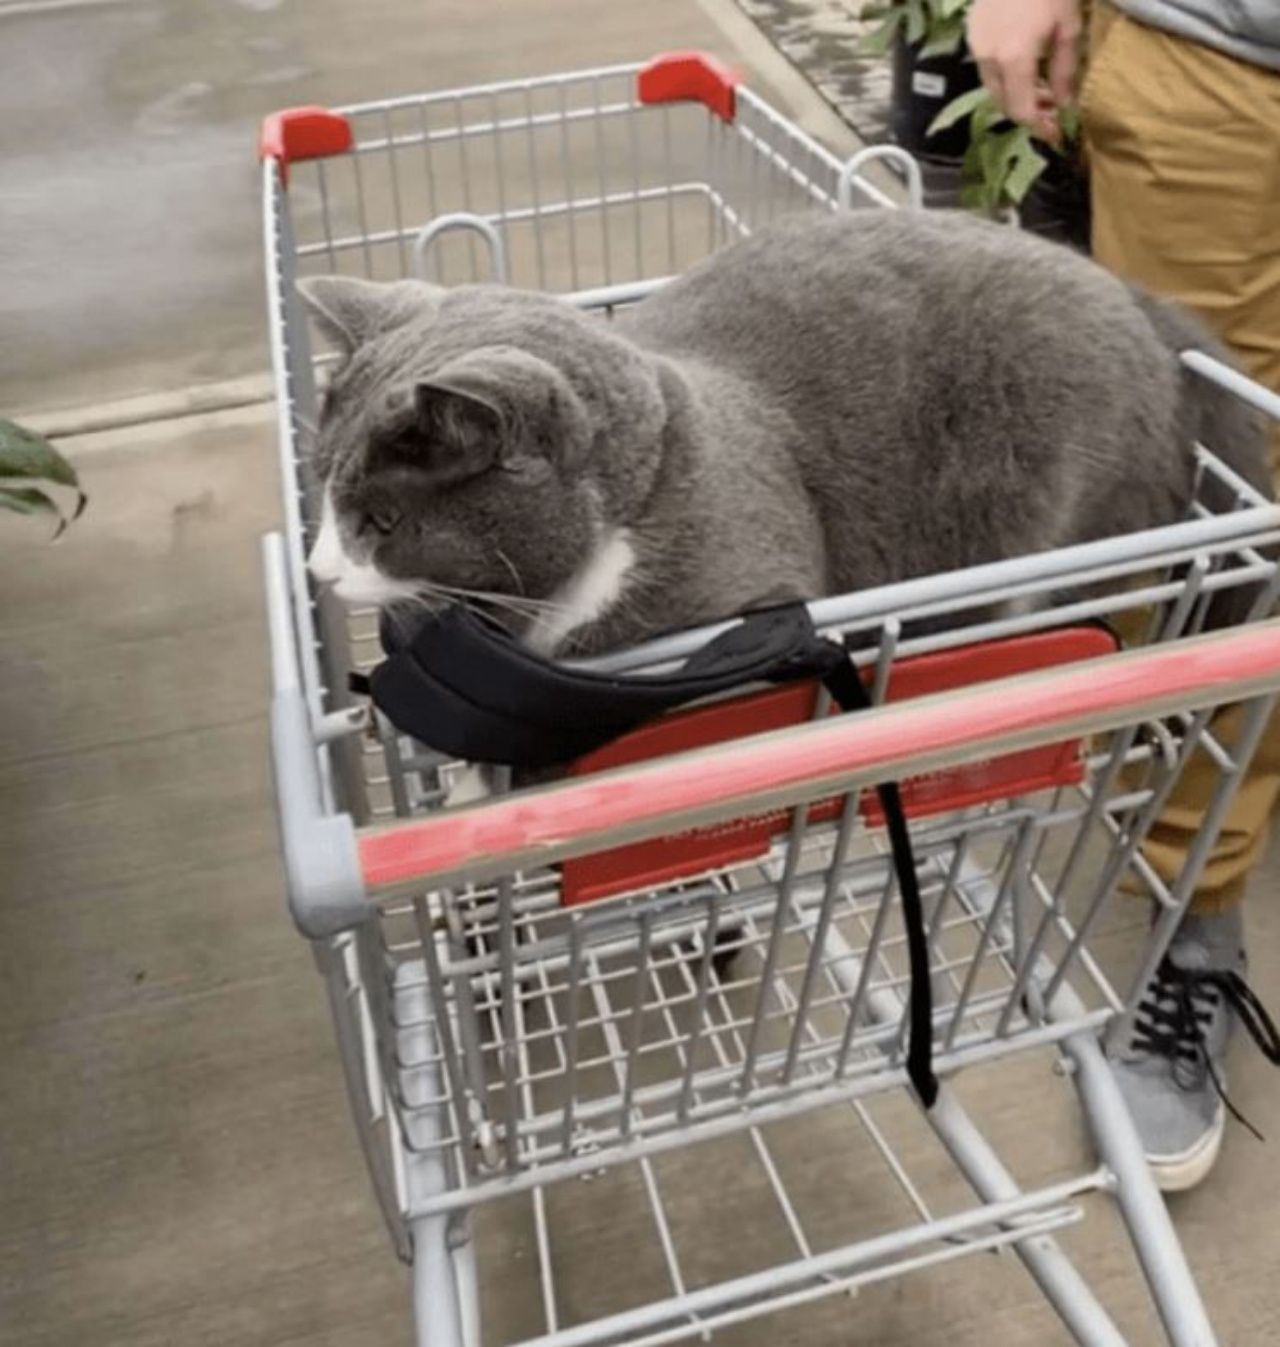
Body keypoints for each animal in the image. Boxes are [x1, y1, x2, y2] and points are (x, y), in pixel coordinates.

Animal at [300, 204, 1271, 657]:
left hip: (1052, 518)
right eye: (320, 494)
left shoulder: (752, 584)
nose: (318, 569)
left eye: (381, 521)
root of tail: (1134, 298)